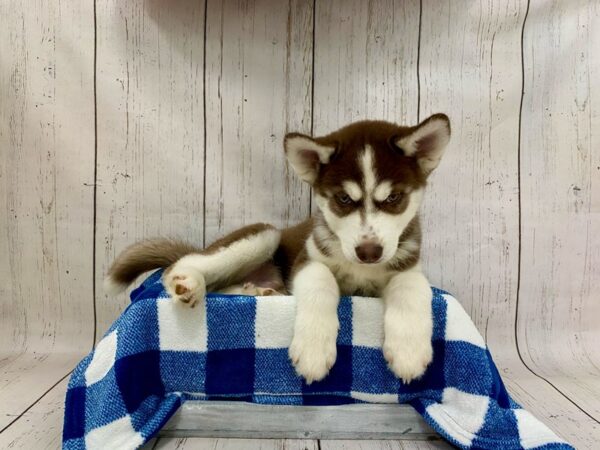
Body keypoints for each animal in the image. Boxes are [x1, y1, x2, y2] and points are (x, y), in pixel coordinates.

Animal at [104, 113, 450, 384]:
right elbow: (322, 282)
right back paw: (188, 282)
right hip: (264, 237)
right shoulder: (307, 260)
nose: (369, 253)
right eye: (343, 199)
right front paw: (314, 350)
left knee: (227, 286)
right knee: (185, 264)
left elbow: (412, 287)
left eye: (393, 198)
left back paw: (261, 291)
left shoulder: (408, 263)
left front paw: (408, 351)